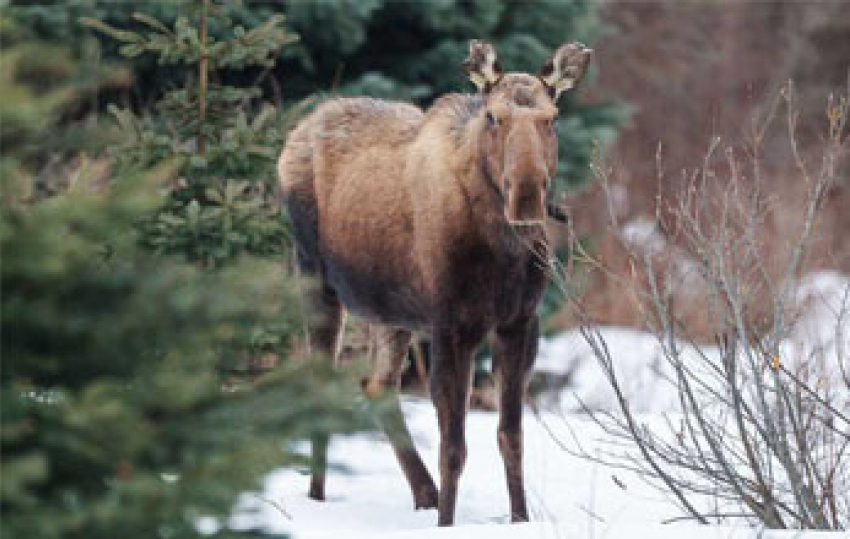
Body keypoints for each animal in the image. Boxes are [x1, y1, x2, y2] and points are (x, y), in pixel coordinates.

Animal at [278, 39, 588, 528]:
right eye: (493, 116)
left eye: (552, 118)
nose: (526, 196)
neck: (503, 252)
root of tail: (301, 127)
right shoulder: (451, 328)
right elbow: (454, 449)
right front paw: (446, 522)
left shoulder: (519, 322)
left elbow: (511, 437)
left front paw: (519, 518)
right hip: (316, 278)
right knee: (319, 390)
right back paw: (318, 497)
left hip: (389, 313)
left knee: (376, 385)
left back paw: (423, 492)